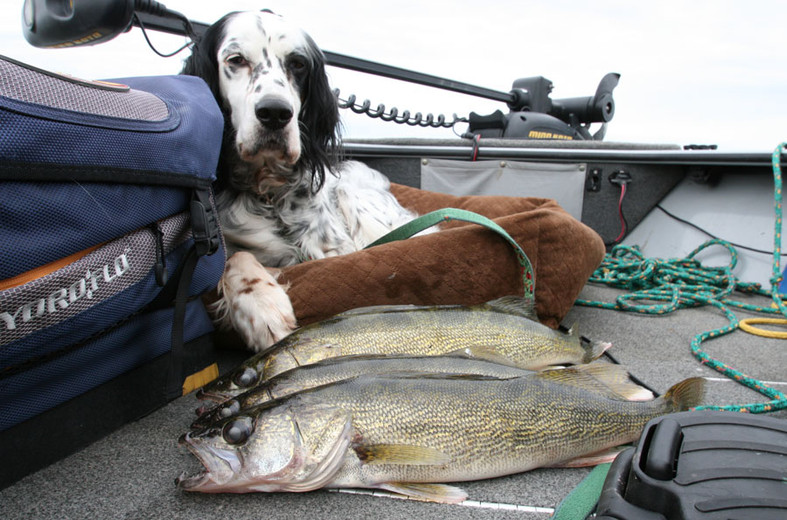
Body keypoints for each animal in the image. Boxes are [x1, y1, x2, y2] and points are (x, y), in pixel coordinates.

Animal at [182, 10, 428, 352]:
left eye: (298, 64)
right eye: (236, 59)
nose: (274, 112)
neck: (269, 194)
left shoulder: (335, 251)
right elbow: (234, 259)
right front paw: (262, 304)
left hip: (356, 197)